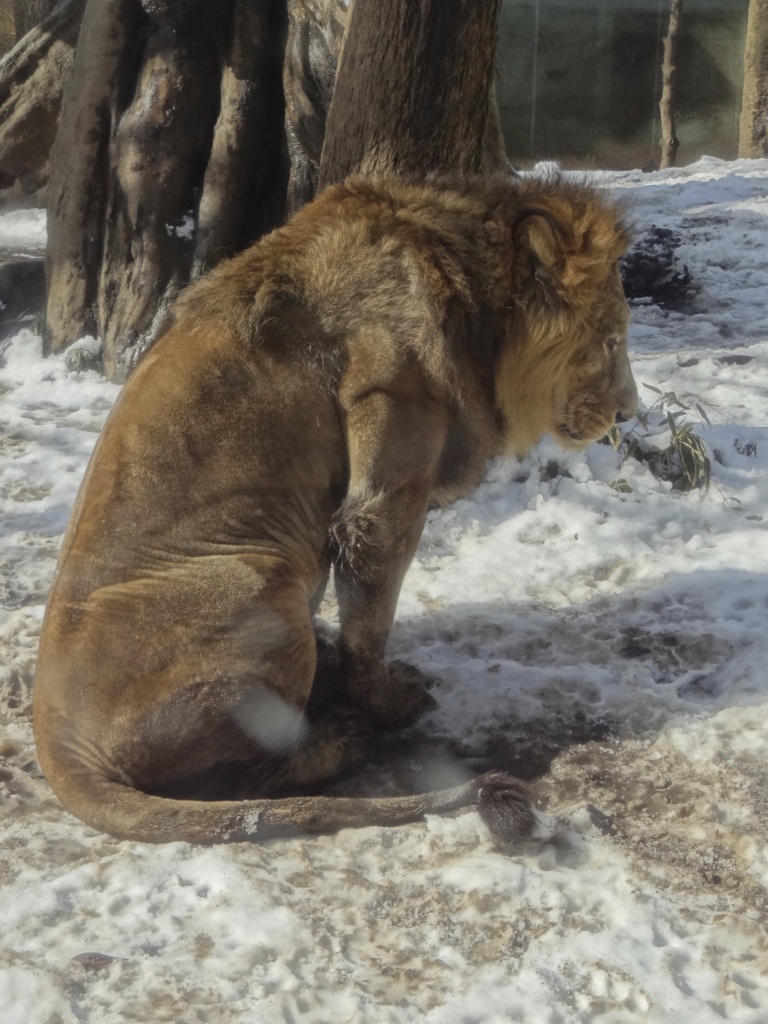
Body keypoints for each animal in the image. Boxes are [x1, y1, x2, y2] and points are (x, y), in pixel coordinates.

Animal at [33, 174, 638, 839]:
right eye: (612, 339)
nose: (631, 411)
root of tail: (57, 742)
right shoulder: (385, 475)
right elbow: (371, 622)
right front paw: (389, 702)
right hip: (258, 578)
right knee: (250, 785)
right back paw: (341, 740)